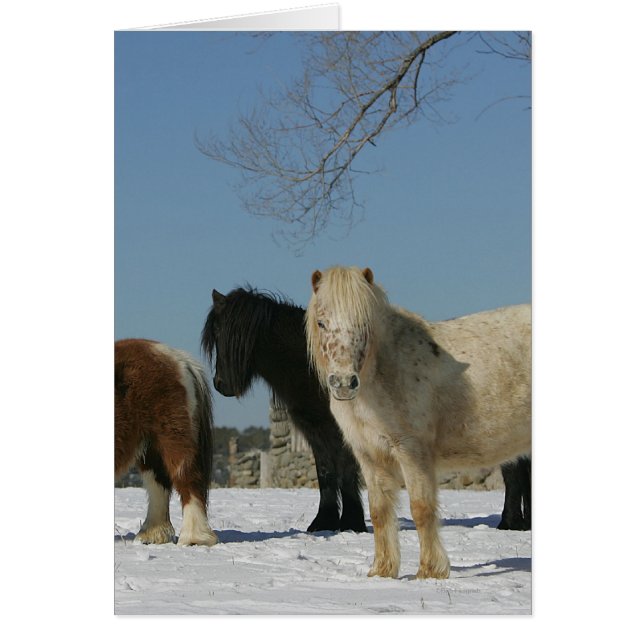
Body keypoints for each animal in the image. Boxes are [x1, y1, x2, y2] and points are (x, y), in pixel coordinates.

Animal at [115, 339, 218, 546]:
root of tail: (178, 357)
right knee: (158, 484)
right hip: (151, 447)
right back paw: (151, 535)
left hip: (172, 437)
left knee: (187, 479)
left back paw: (194, 538)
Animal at [201, 287, 367, 533]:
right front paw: (324, 522)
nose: (221, 384)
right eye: (216, 333)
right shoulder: (315, 427)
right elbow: (325, 470)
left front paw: (352, 523)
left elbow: (346, 467)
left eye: (223, 332)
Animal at [305, 266, 531, 579]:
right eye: (322, 322)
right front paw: (382, 571)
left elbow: (421, 509)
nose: (343, 383)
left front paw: (429, 571)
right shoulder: (370, 457)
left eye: (364, 323)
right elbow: (379, 512)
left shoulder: (412, 451)